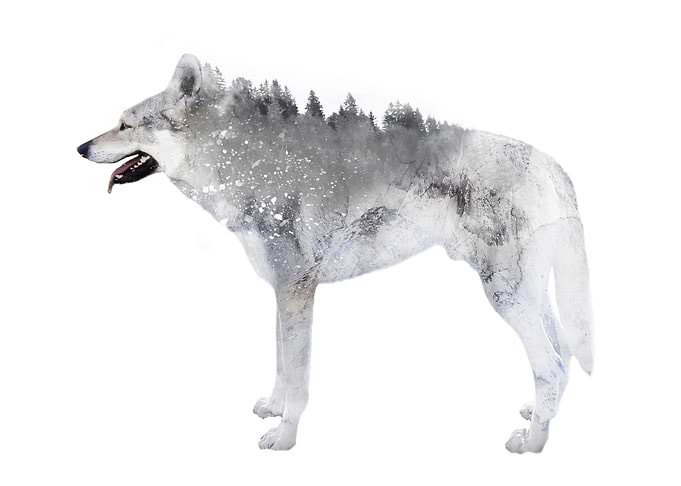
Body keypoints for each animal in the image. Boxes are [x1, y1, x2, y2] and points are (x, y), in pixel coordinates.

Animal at [77, 54, 594, 453]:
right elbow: (281, 364)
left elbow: (299, 379)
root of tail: (551, 162)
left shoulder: (297, 292)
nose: (81, 147)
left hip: (506, 296)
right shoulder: (283, 293)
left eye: (124, 124)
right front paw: (273, 409)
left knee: (550, 365)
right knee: (562, 354)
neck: (244, 165)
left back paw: (532, 443)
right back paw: (539, 415)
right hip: (528, 296)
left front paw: (284, 438)